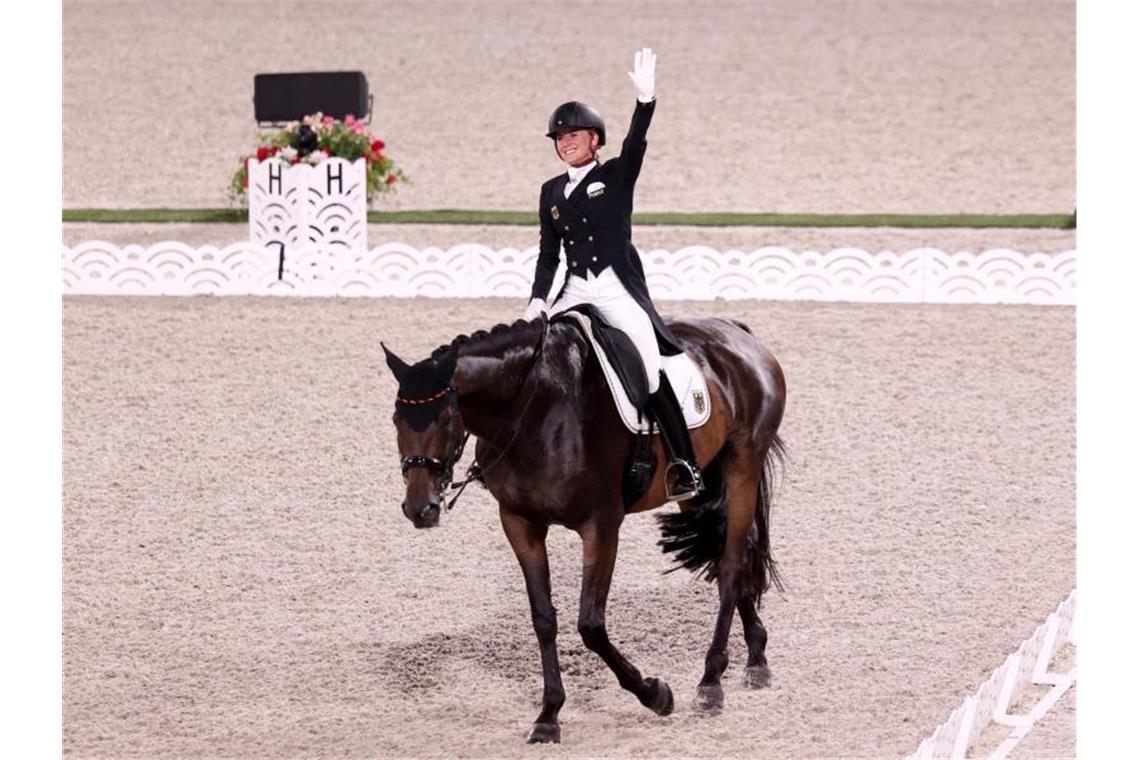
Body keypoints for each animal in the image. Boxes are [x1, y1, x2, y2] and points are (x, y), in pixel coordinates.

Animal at [380, 314, 784, 742]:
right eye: (396, 420)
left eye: (444, 419)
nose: (420, 509)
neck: (533, 410)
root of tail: (735, 331)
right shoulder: (519, 522)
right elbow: (543, 618)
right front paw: (548, 715)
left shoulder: (601, 526)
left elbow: (590, 624)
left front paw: (655, 694)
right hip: (699, 480)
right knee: (720, 551)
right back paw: (756, 657)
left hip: (743, 463)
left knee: (731, 564)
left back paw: (710, 683)